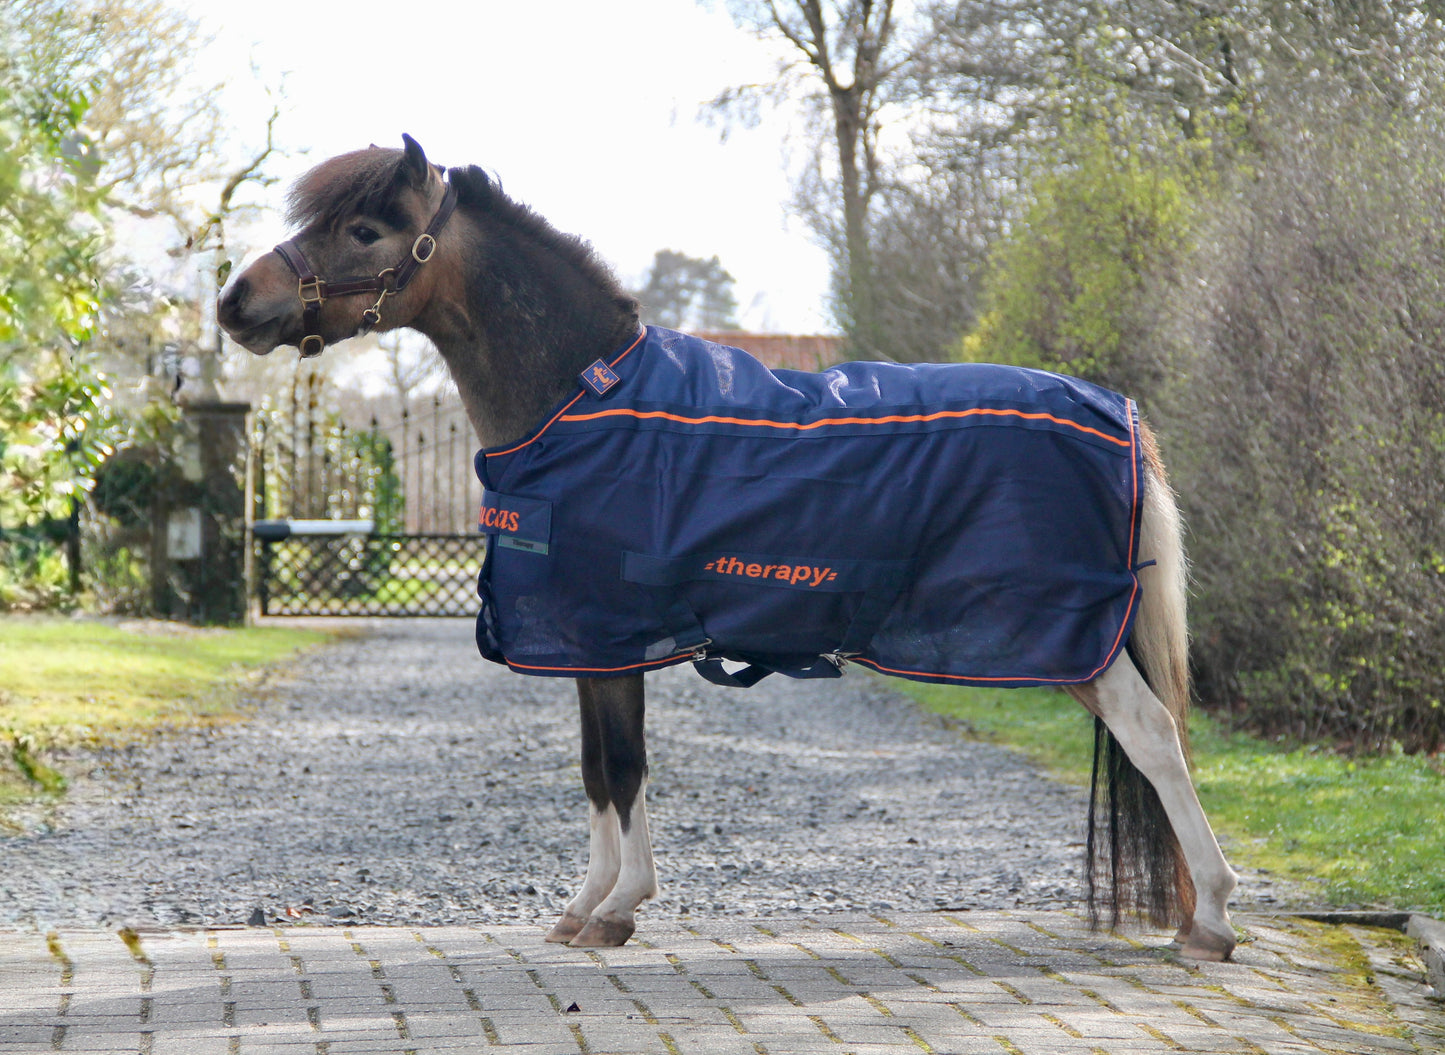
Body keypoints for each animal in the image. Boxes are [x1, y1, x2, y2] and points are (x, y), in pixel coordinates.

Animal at [218, 135, 1239, 960]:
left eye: (364, 230)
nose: (235, 300)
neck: (581, 397)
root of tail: (1113, 410)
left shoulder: (609, 634)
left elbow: (621, 766)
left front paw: (617, 908)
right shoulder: (588, 641)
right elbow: (594, 770)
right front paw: (584, 904)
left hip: (1068, 639)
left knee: (1154, 736)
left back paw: (1213, 919)